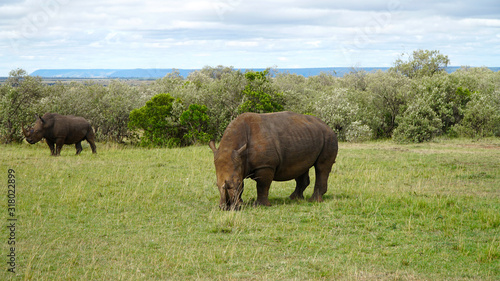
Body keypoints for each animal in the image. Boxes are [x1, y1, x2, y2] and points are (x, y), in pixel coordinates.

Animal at [209, 110, 338, 209]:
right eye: (216, 184)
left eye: (237, 182)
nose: (226, 207)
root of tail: (328, 126)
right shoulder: (240, 163)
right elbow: (244, 187)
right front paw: (241, 204)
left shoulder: (265, 165)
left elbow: (262, 185)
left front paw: (260, 205)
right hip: (306, 136)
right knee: (302, 166)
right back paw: (294, 198)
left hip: (329, 137)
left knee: (321, 167)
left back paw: (314, 201)